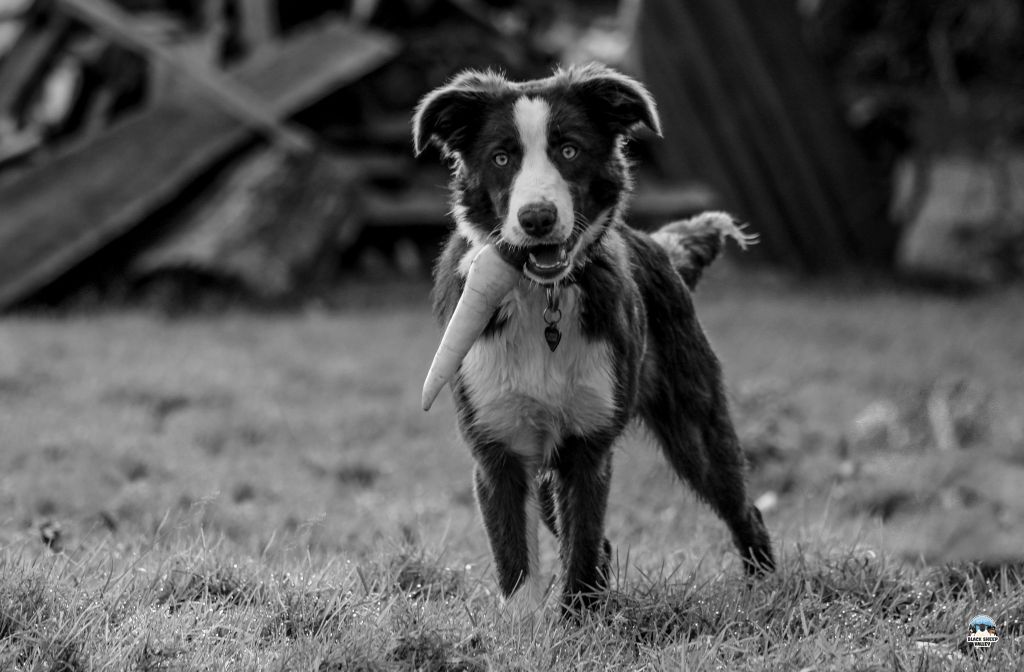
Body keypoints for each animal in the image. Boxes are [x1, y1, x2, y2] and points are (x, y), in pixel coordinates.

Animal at [411, 64, 770, 618]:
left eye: (569, 150)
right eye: (501, 158)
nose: (537, 218)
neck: (543, 298)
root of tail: (660, 244)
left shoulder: (587, 444)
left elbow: (579, 547)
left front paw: (580, 622)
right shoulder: (498, 448)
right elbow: (518, 561)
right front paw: (526, 629)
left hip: (695, 423)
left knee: (742, 507)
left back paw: (768, 588)